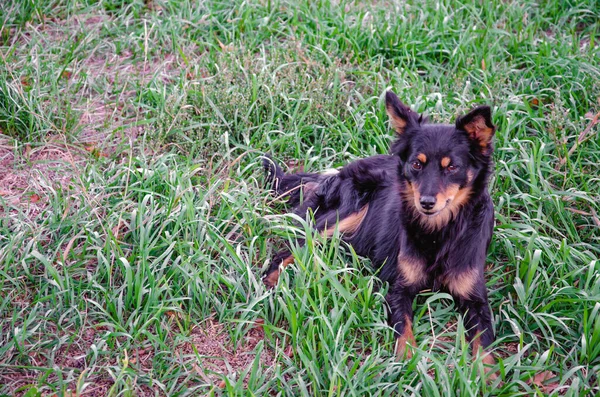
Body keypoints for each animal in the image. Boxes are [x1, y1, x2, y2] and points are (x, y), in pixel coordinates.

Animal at [262, 91, 496, 366]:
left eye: (452, 167)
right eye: (417, 164)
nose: (426, 202)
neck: (440, 232)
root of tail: (336, 172)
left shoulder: (475, 299)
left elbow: (486, 345)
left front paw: (486, 373)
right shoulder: (397, 286)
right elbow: (404, 330)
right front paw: (408, 363)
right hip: (345, 214)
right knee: (290, 249)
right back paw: (269, 287)